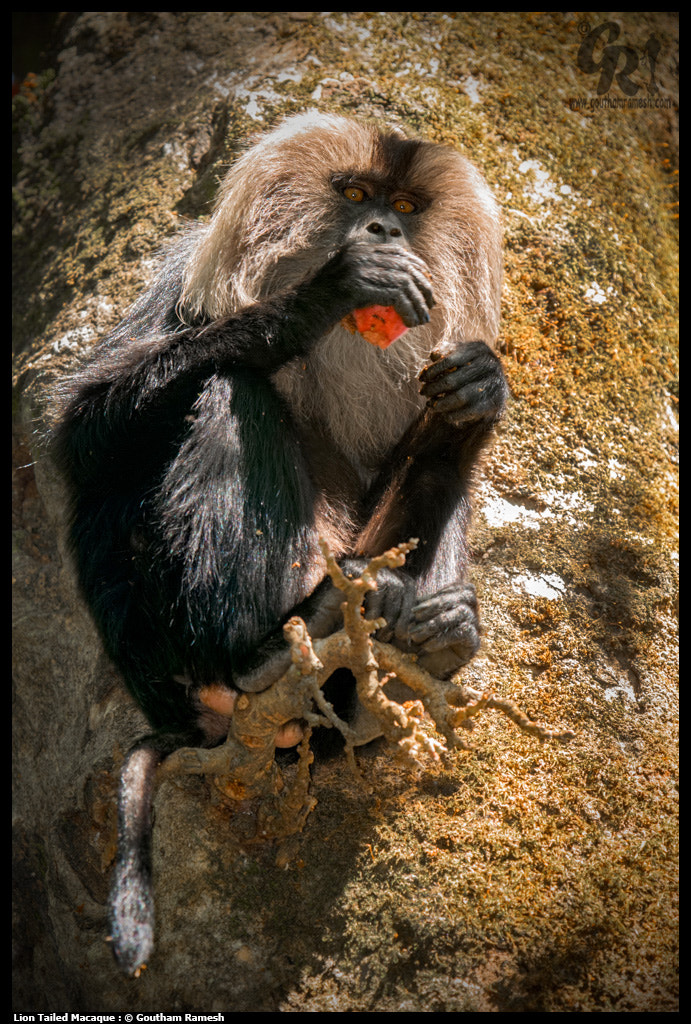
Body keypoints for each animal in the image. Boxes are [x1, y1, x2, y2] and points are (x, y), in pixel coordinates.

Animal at [51, 114, 505, 974]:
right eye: (356, 196)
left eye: (404, 206)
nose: (383, 231)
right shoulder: (183, 276)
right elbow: (82, 436)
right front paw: (319, 297)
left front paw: (475, 396)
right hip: (155, 638)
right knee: (228, 389)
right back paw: (266, 647)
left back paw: (424, 643)